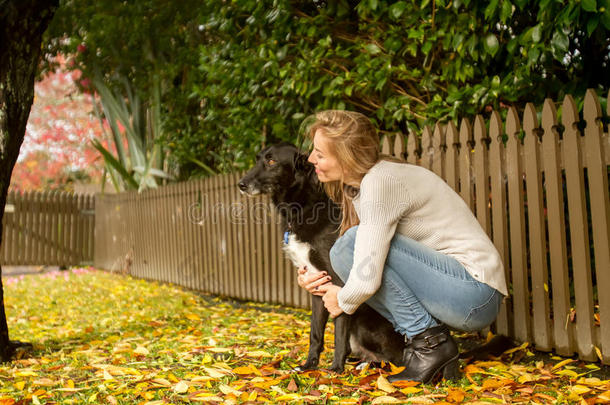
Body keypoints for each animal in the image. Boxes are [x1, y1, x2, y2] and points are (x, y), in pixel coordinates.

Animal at [238, 143, 404, 372]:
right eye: (257, 159)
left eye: (271, 161)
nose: (241, 184)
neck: (302, 209)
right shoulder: (316, 285)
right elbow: (315, 332)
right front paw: (309, 365)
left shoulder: (339, 285)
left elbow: (339, 333)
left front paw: (335, 369)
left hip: (364, 323)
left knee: (396, 360)